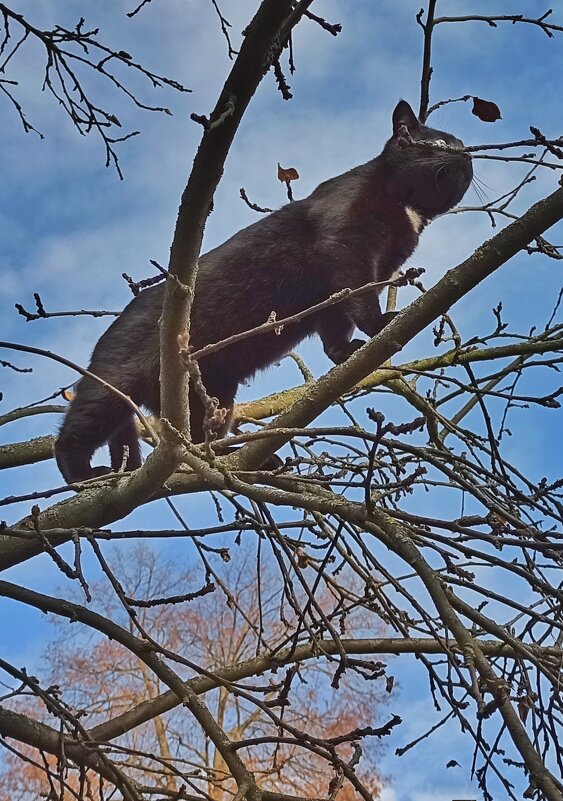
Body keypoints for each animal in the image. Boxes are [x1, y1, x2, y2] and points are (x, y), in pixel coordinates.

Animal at [56, 103, 472, 484]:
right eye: (440, 142)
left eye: (461, 143)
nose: (467, 153)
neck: (407, 209)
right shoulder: (344, 248)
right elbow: (356, 297)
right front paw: (381, 324)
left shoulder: (354, 279)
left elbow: (335, 320)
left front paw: (344, 353)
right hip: (113, 387)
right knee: (76, 431)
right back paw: (82, 473)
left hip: (211, 394)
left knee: (196, 442)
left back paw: (242, 461)